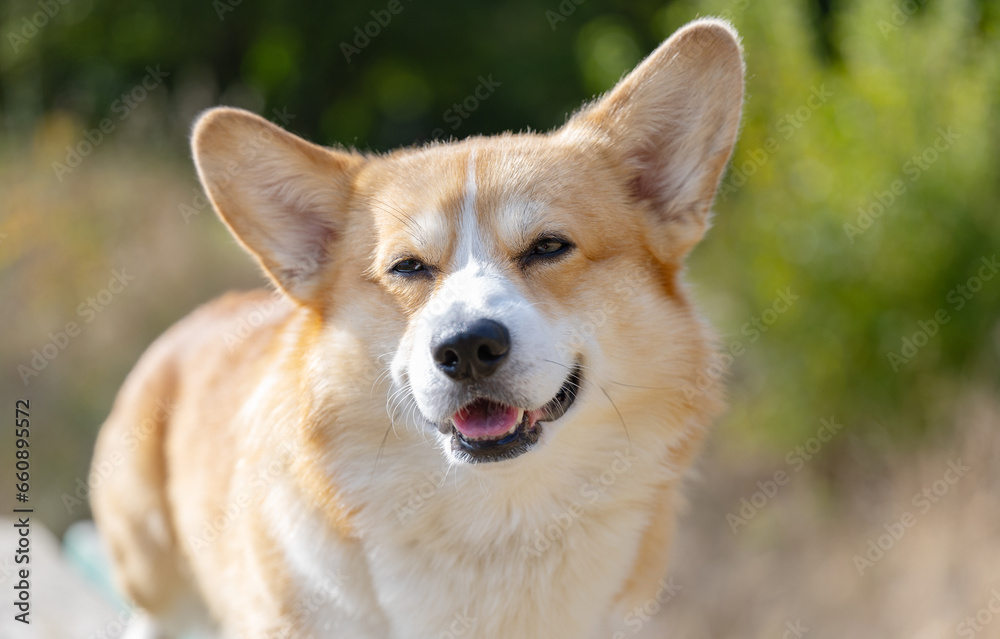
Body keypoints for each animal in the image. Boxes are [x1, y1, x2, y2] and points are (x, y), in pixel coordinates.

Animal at [92, 17, 744, 636]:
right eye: (407, 266)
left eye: (549, 247)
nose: (468, 347)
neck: (495, 517)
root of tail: (201, 316)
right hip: (152, 571)